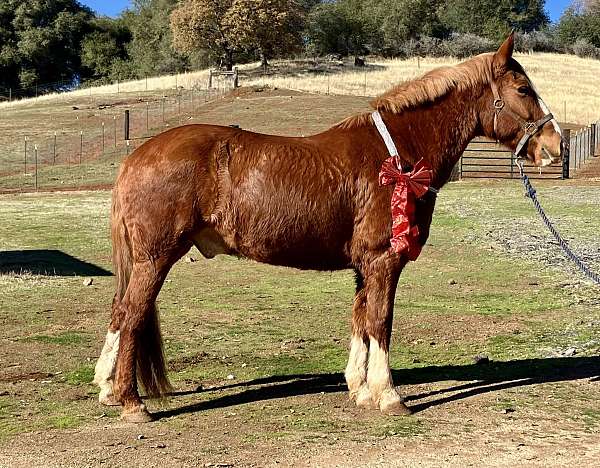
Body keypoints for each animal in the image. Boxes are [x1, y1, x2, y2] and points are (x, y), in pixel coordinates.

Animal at [92, 32, 564, 420]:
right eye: (523, 89)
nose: (554, 145)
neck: (397, 152)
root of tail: (137, 156)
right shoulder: (383, 260)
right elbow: (380, 320)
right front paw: (388, 395)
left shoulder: (365, 265)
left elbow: (360, 319)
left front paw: (360, 388)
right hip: (156, 257)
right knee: (131, 314)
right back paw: (131, 403)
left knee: (119, 312)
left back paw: (108, 388)